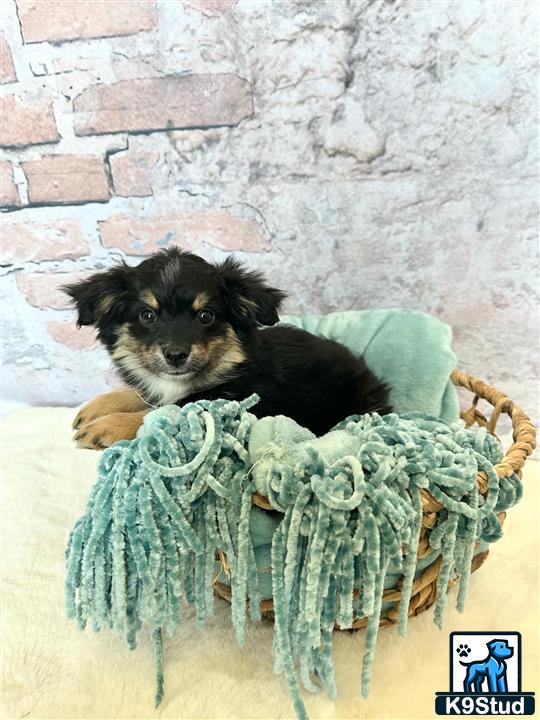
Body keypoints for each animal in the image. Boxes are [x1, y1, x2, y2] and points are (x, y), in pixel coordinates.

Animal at [65, 250, 390, 448]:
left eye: (205, 316)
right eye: (147, 315)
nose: (176, 355)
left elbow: (166, 411)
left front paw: (106, 426)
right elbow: (146, 395)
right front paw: (99, 406)